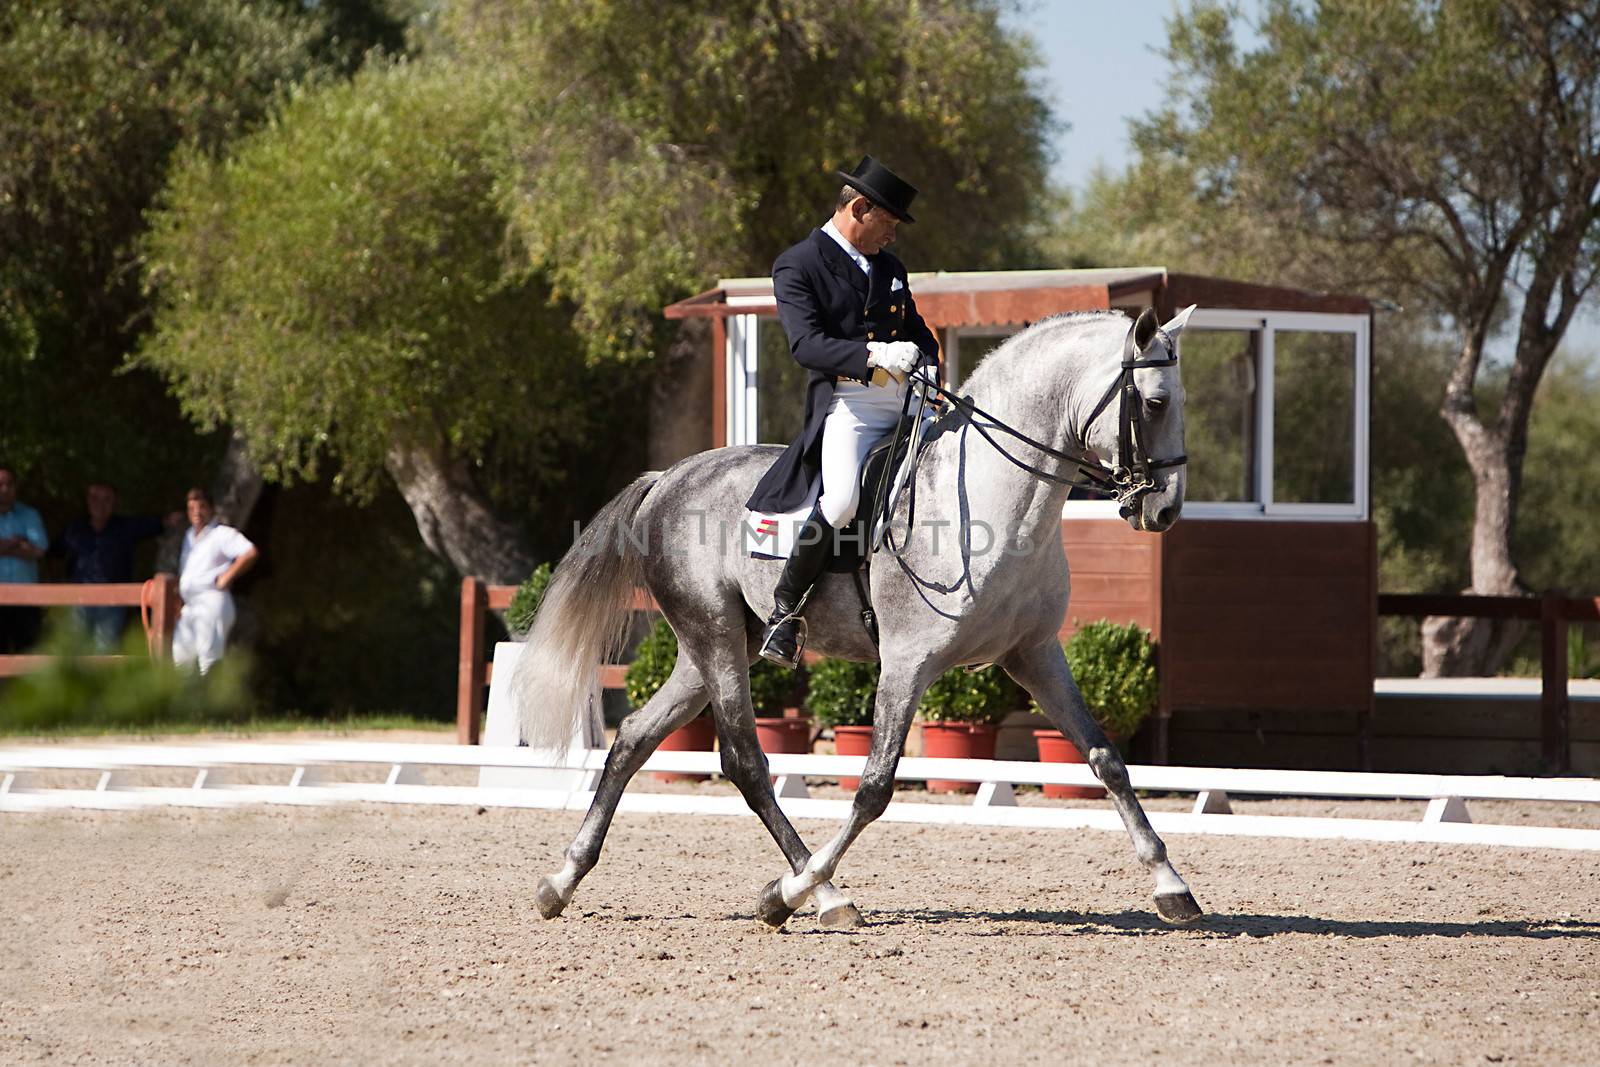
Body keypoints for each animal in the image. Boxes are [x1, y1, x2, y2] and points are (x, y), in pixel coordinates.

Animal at [512, 303, 1203, 927]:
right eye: (1156, 403)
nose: (1165, 511)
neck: (991, 499)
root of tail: (670, 477)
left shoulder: (1034, 654)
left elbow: (1107, 760)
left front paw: (1173, 888)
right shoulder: (907, 662)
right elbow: (873, 788)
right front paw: (791, 893)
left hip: (713, 645)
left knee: (634, 738)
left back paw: (560, 881)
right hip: (714, 638)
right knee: (746, 763)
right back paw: (819, 896)